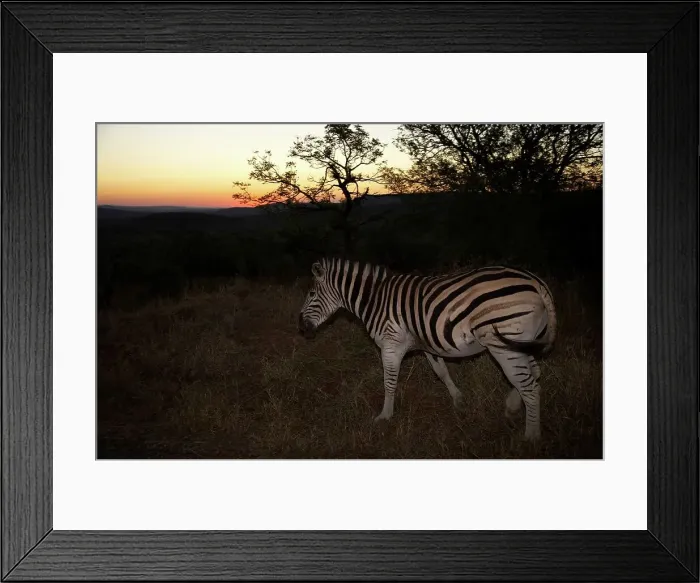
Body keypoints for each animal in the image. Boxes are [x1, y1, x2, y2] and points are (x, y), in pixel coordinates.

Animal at [298, 257, 557, 441]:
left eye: (311, 293)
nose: (301, 327)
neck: (374, 300)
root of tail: (536, 282)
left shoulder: (391, 345)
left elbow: (389, 382)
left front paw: (385, 416)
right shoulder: (426, 344)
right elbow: (441, 372)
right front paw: (458, 400)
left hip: (504, 344)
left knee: (529, 386)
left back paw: (531, 436)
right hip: (522, 342)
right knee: (534, 375)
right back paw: (513, 407)